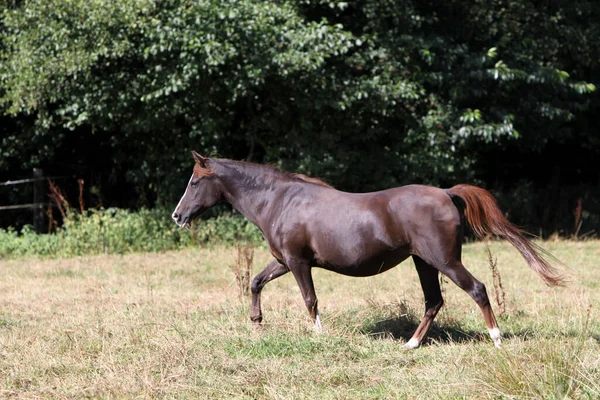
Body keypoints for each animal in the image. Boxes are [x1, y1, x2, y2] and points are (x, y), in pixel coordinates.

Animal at [171, 152, 564, 348]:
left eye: (194, 182)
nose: (177, 215)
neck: (280, 201)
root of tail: (446, 192)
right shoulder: (284, 261)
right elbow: (255, 282)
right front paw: (256, 324)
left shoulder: (298, 262)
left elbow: (310, 299)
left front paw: (318, 335)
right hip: (424, 262)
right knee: (433, 302)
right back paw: (410, 345)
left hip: (444, 260)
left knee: (477, 289)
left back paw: (496, 339)